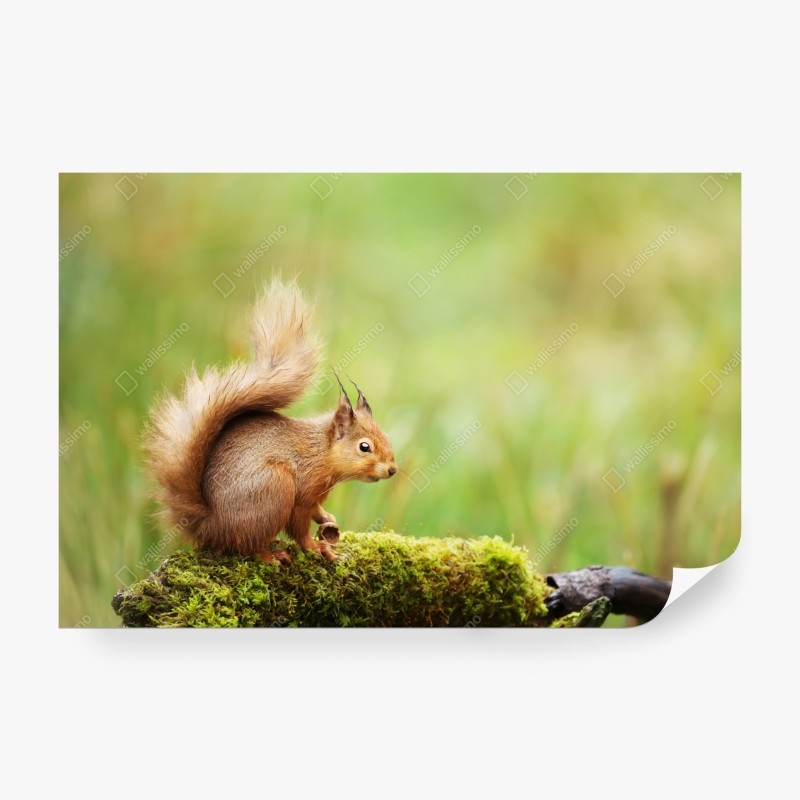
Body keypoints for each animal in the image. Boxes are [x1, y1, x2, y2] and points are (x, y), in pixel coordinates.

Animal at [144, 279, 397, 563]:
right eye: (364, 447)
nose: (392, 469)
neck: (322, 451)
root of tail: (208, 526)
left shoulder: (315, 496)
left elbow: (315, 510)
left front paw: (327, 518)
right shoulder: (303, 492)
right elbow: (299, 526)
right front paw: (316, 547)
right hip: (275, 487)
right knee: (243, 546)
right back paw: (270, 554)